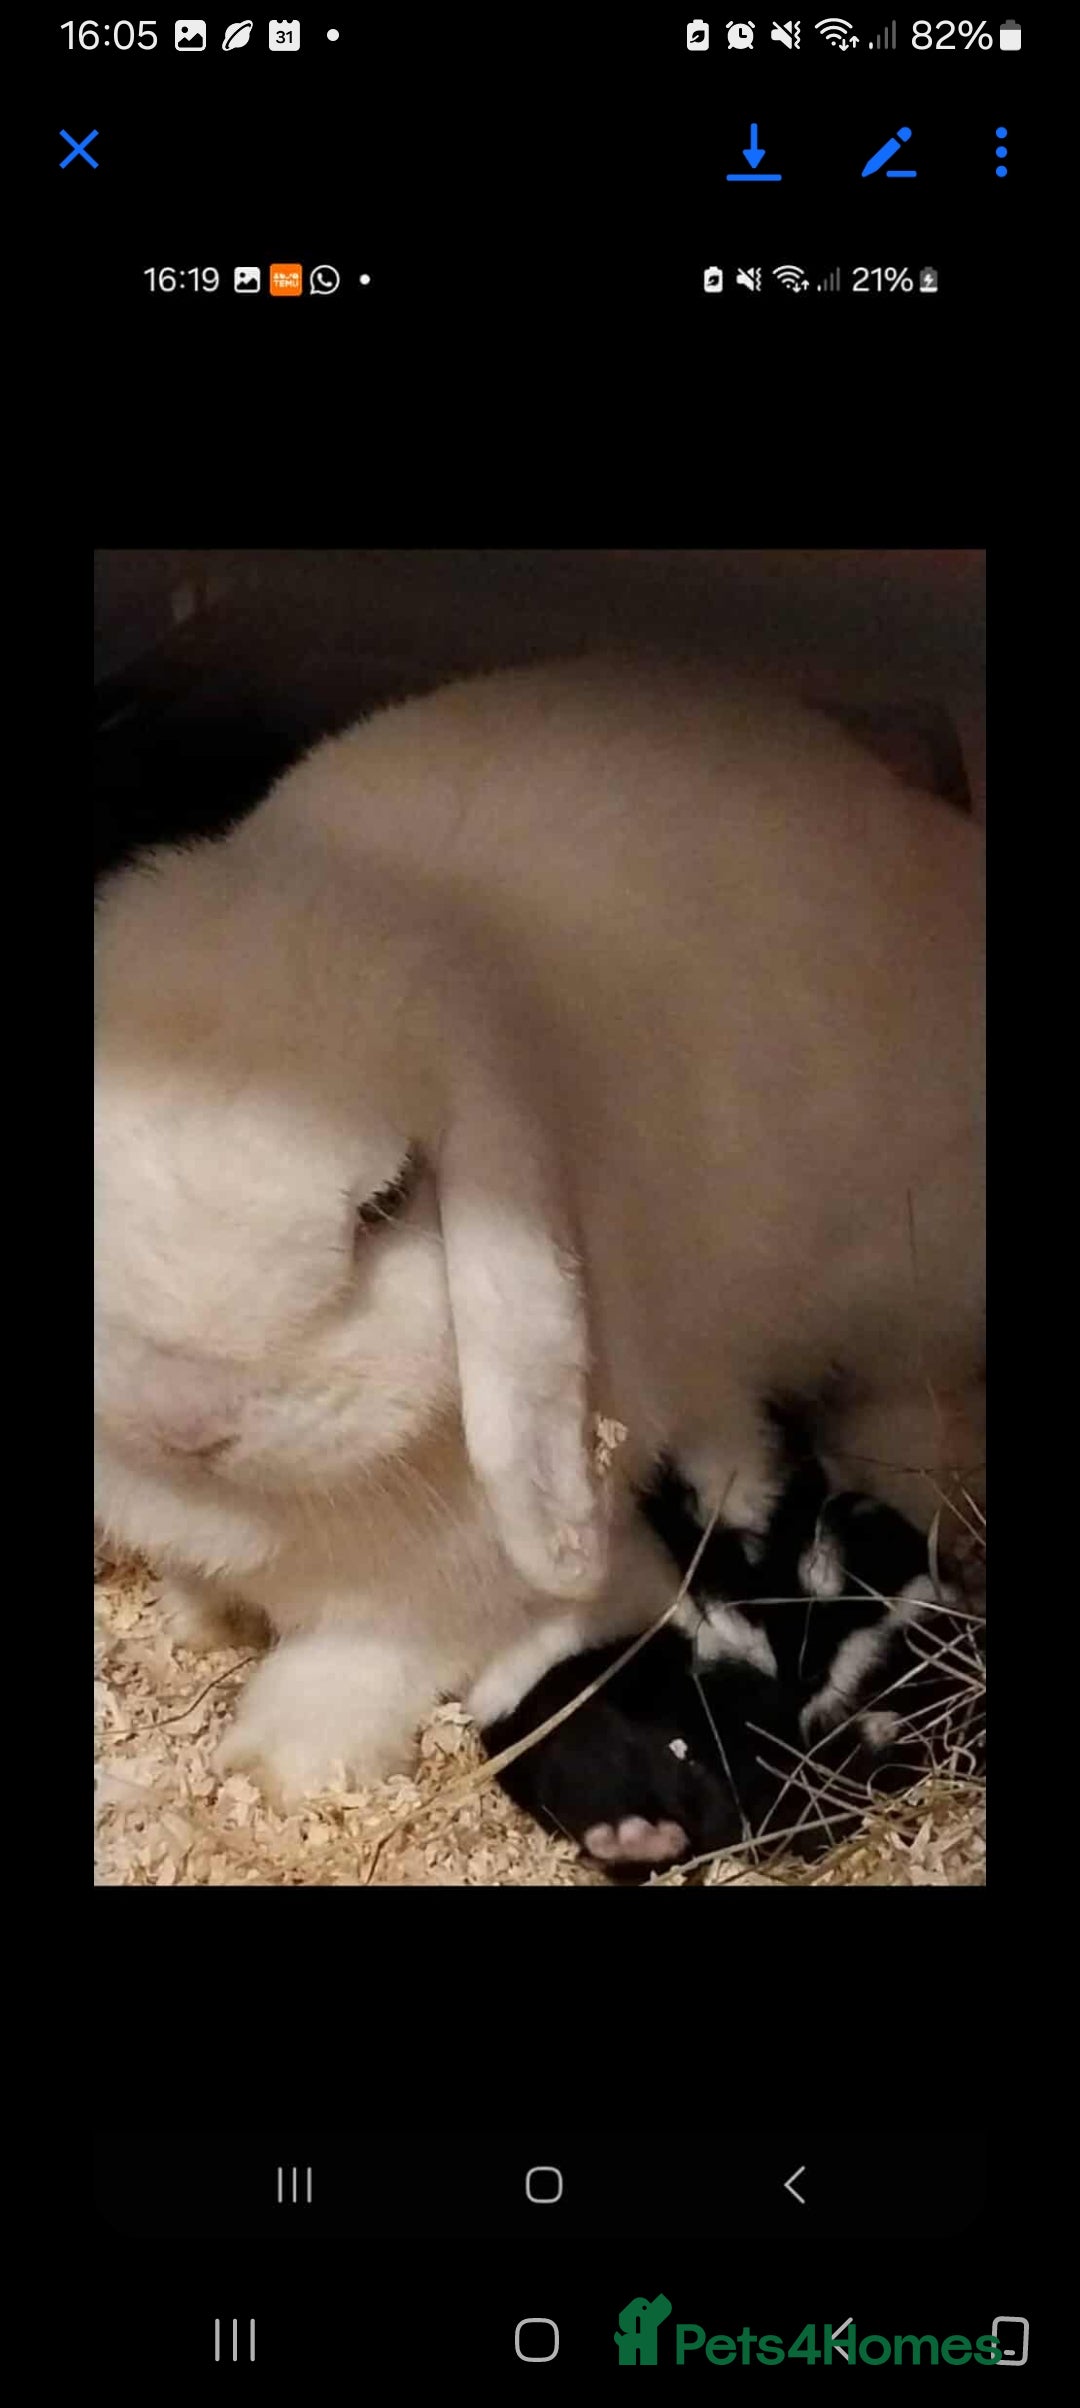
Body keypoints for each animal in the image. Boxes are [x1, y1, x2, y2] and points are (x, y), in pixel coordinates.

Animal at [94, 655, 984, 1804]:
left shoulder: (440, 1586)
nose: (185, 1417)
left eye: (386, 1202)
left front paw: (285, 1761)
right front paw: (197, 1618)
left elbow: (361, 1655)